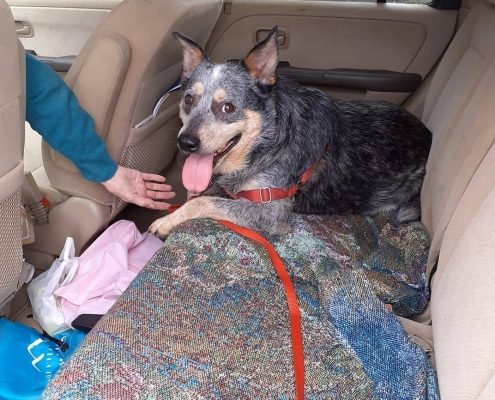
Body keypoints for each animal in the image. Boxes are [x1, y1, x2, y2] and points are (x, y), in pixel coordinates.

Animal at [149, 26, 432, 238]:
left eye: (228, 107)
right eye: (188, 100)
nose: (185, 143)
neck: (268, 141)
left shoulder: (272, 212)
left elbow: (203, 201)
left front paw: (166, 221)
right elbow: (201, 195)